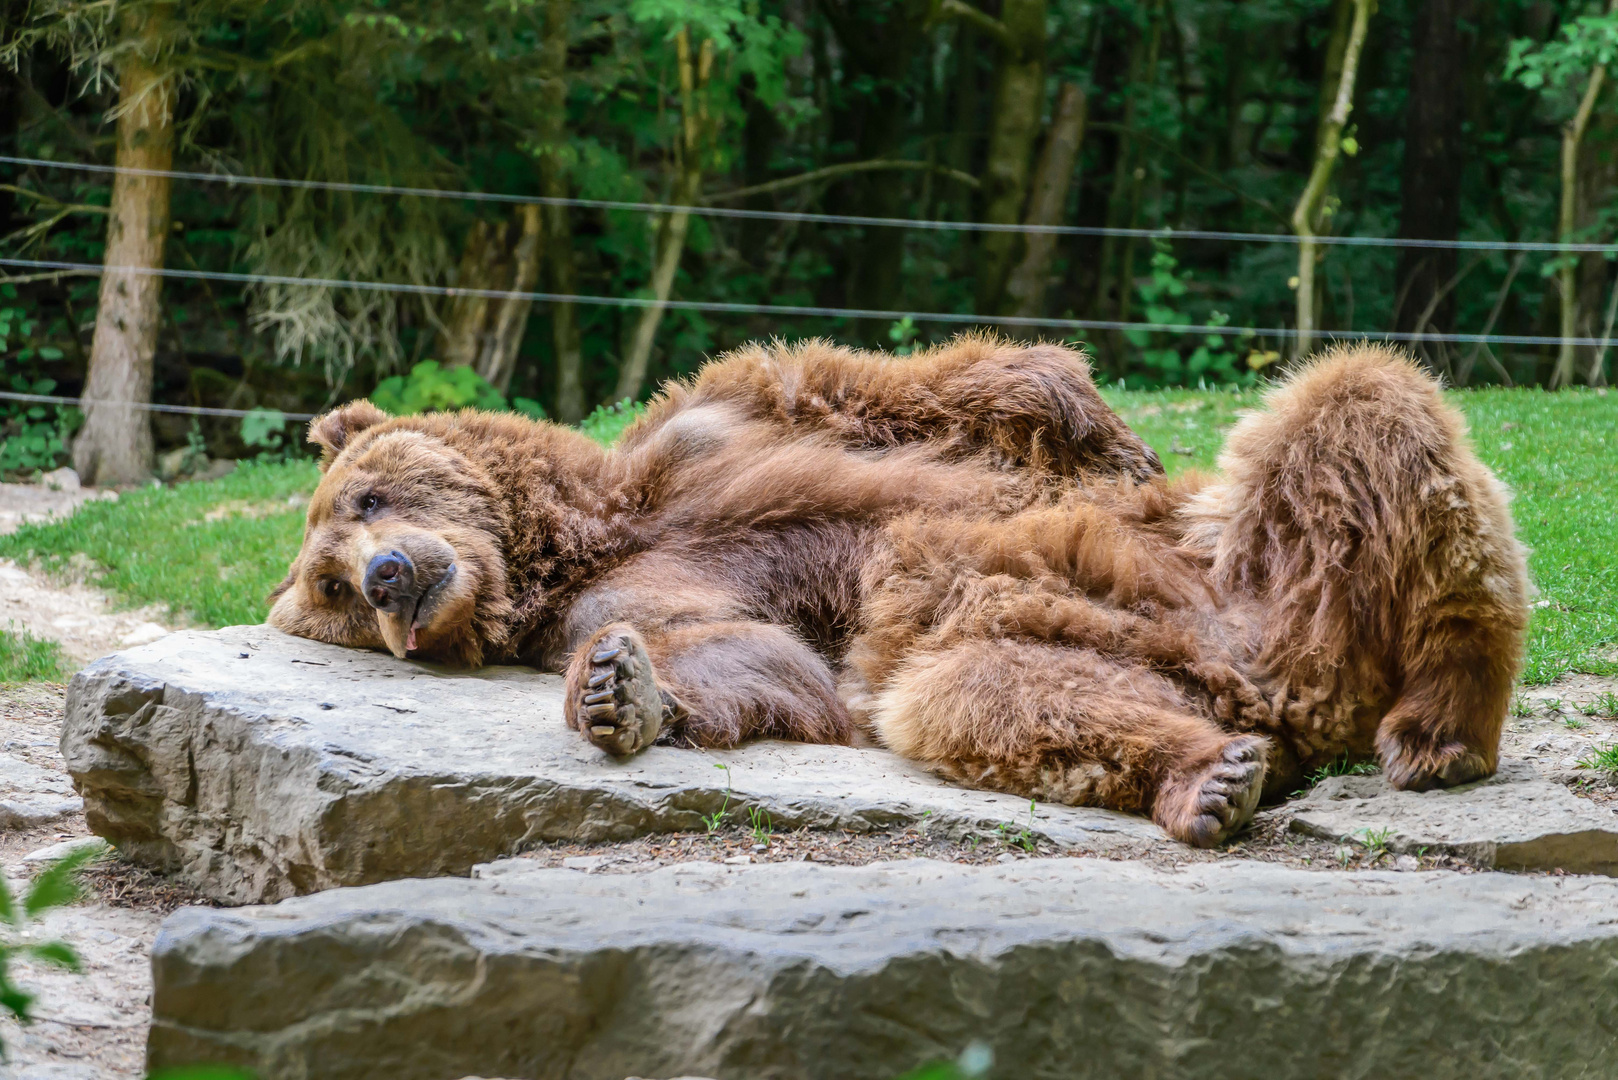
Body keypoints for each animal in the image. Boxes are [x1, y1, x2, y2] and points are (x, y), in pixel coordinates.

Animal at [265, 338, 1158, 761]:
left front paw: (1104, 434)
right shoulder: (616, 597)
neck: (578, 537)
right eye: (332, 588)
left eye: (368, 498)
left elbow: (869, 388)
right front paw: (620, 692)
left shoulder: (711, 433)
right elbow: (751, 653)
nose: (384, 577)